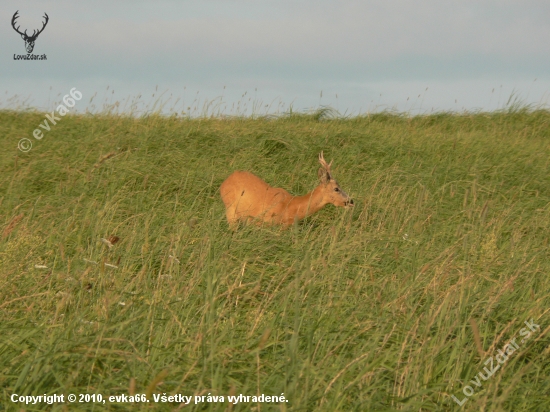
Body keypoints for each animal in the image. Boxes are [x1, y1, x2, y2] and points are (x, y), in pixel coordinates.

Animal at [220, 152, 354, 229]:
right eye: (336, 188)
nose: (351, 201)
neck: (290, 207)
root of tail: (225, 181)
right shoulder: (261, 222)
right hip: (230, 209)